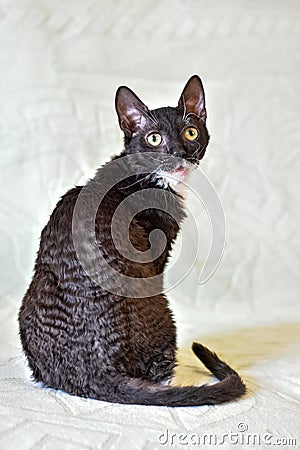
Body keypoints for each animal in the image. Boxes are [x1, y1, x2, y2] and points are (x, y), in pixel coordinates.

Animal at [18, 75, 246, 406]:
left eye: (190, 132)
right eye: (154, 138)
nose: (177, 152)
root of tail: (97, 373)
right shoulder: (159, 251)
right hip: (160, 305)